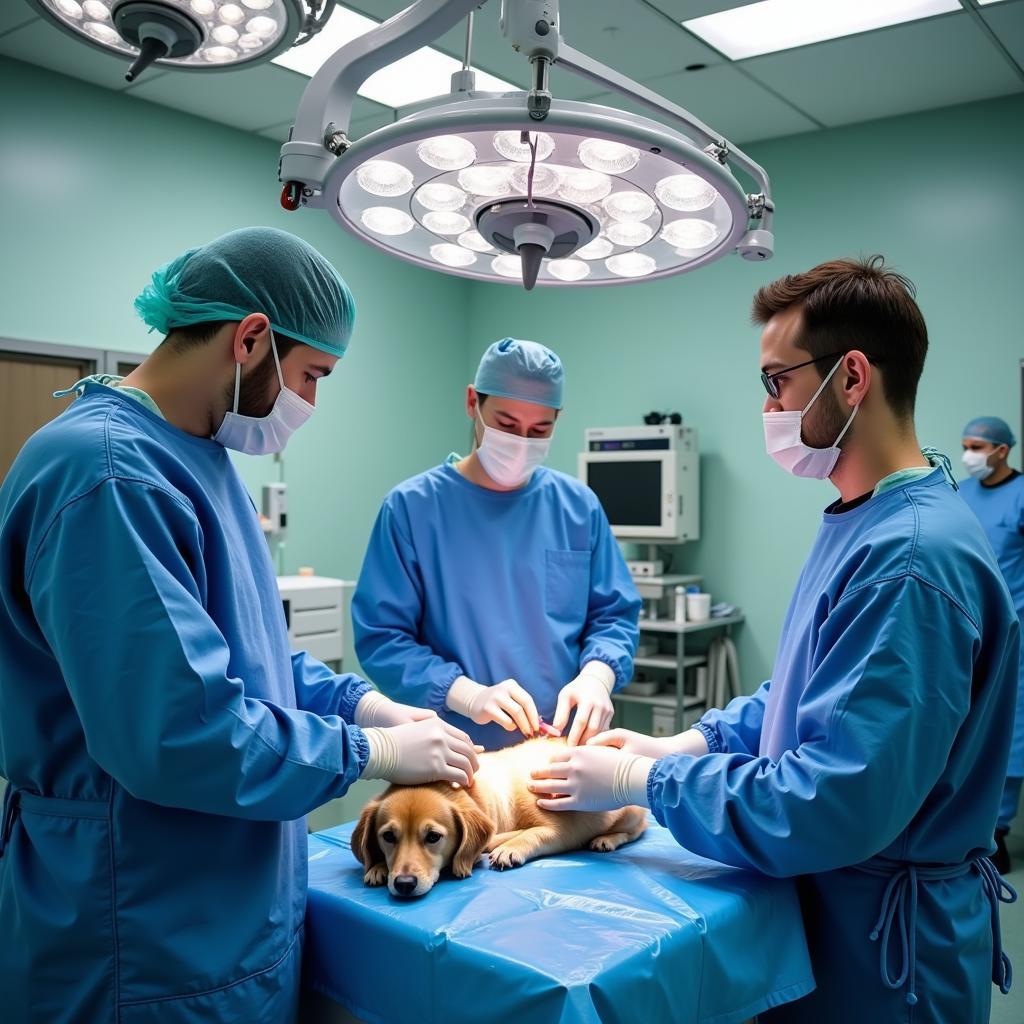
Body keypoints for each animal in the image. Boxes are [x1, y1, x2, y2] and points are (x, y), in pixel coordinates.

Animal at [348, 737, 643, 897]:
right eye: (388, 837)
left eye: (433, 837)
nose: (404, 884)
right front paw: (378, 866)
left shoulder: (560, 830)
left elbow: (533, 833)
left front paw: (510, 847)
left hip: (629, 813)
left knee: (634, 832)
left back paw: (607, 839)